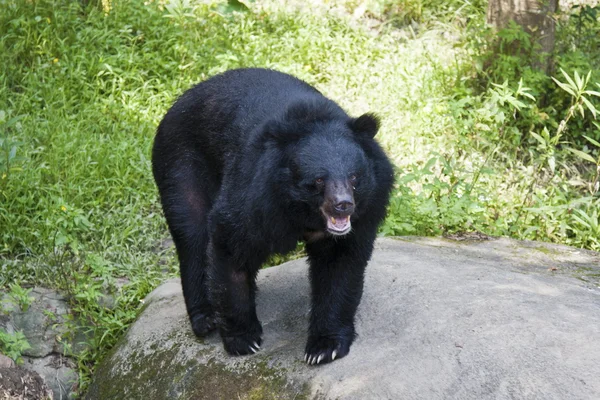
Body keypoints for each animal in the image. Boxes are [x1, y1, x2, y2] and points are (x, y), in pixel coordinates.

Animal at [152, 69, 394, 366]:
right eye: (318, 180)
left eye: (355, 177)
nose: (343, 206)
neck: (303, 211)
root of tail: (179, 100)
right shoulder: (255, 194)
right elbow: (230, 244)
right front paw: (243, 339)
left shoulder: (368, 205)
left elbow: (340, 266)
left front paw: (324, 348)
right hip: (180, 162)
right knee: (193, 233)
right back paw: (205, 319)